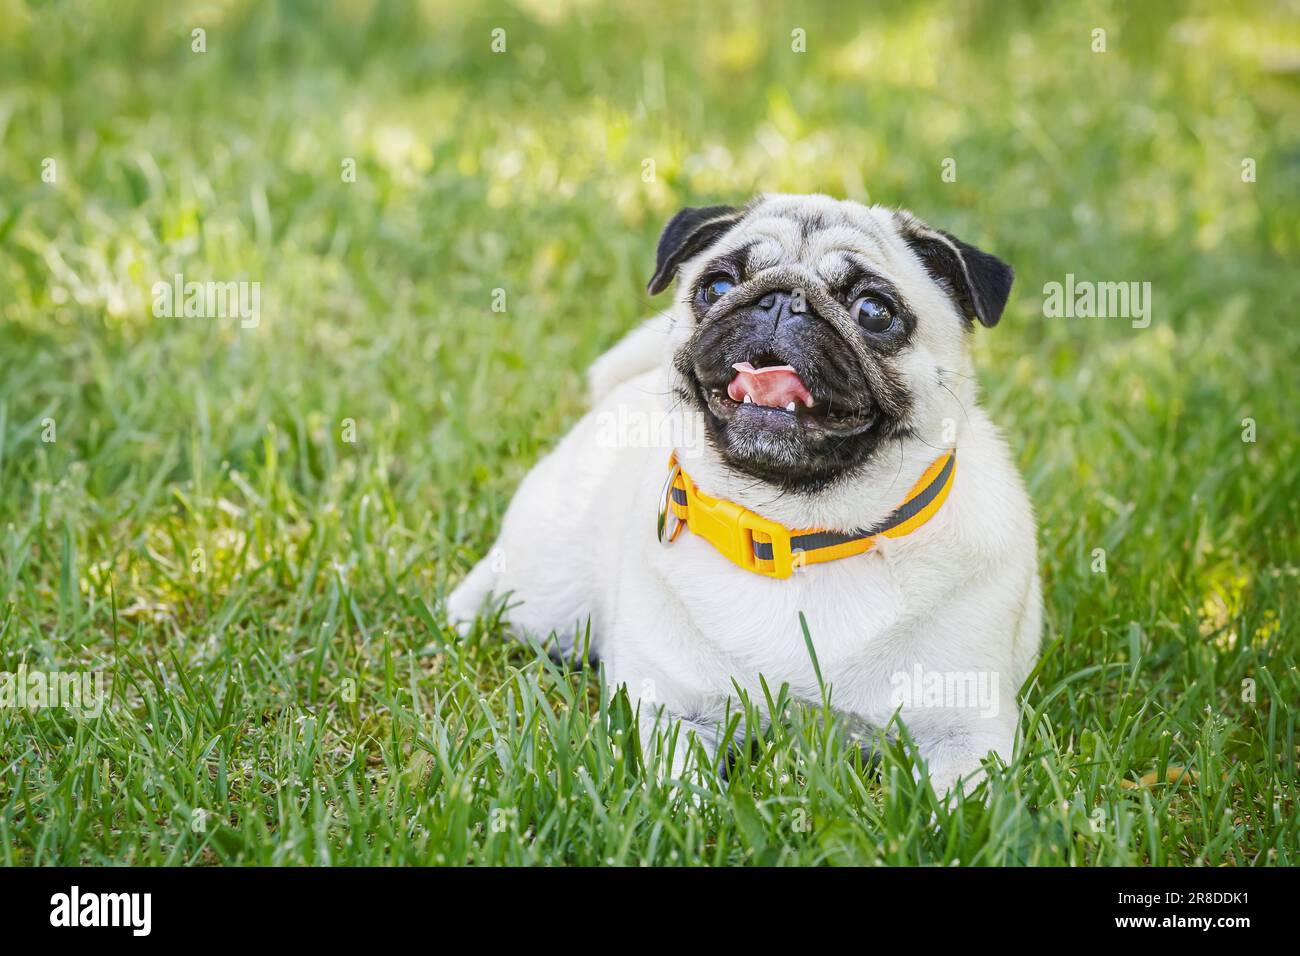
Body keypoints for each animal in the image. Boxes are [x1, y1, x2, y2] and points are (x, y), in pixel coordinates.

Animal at [452, 192, 1040, 790]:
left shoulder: (967, 733)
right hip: (543, 592)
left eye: (874, 312)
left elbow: (964, 801)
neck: (798, 534)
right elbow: (678, 788)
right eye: (716, 287)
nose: (782, 301)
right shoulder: (671, 714)